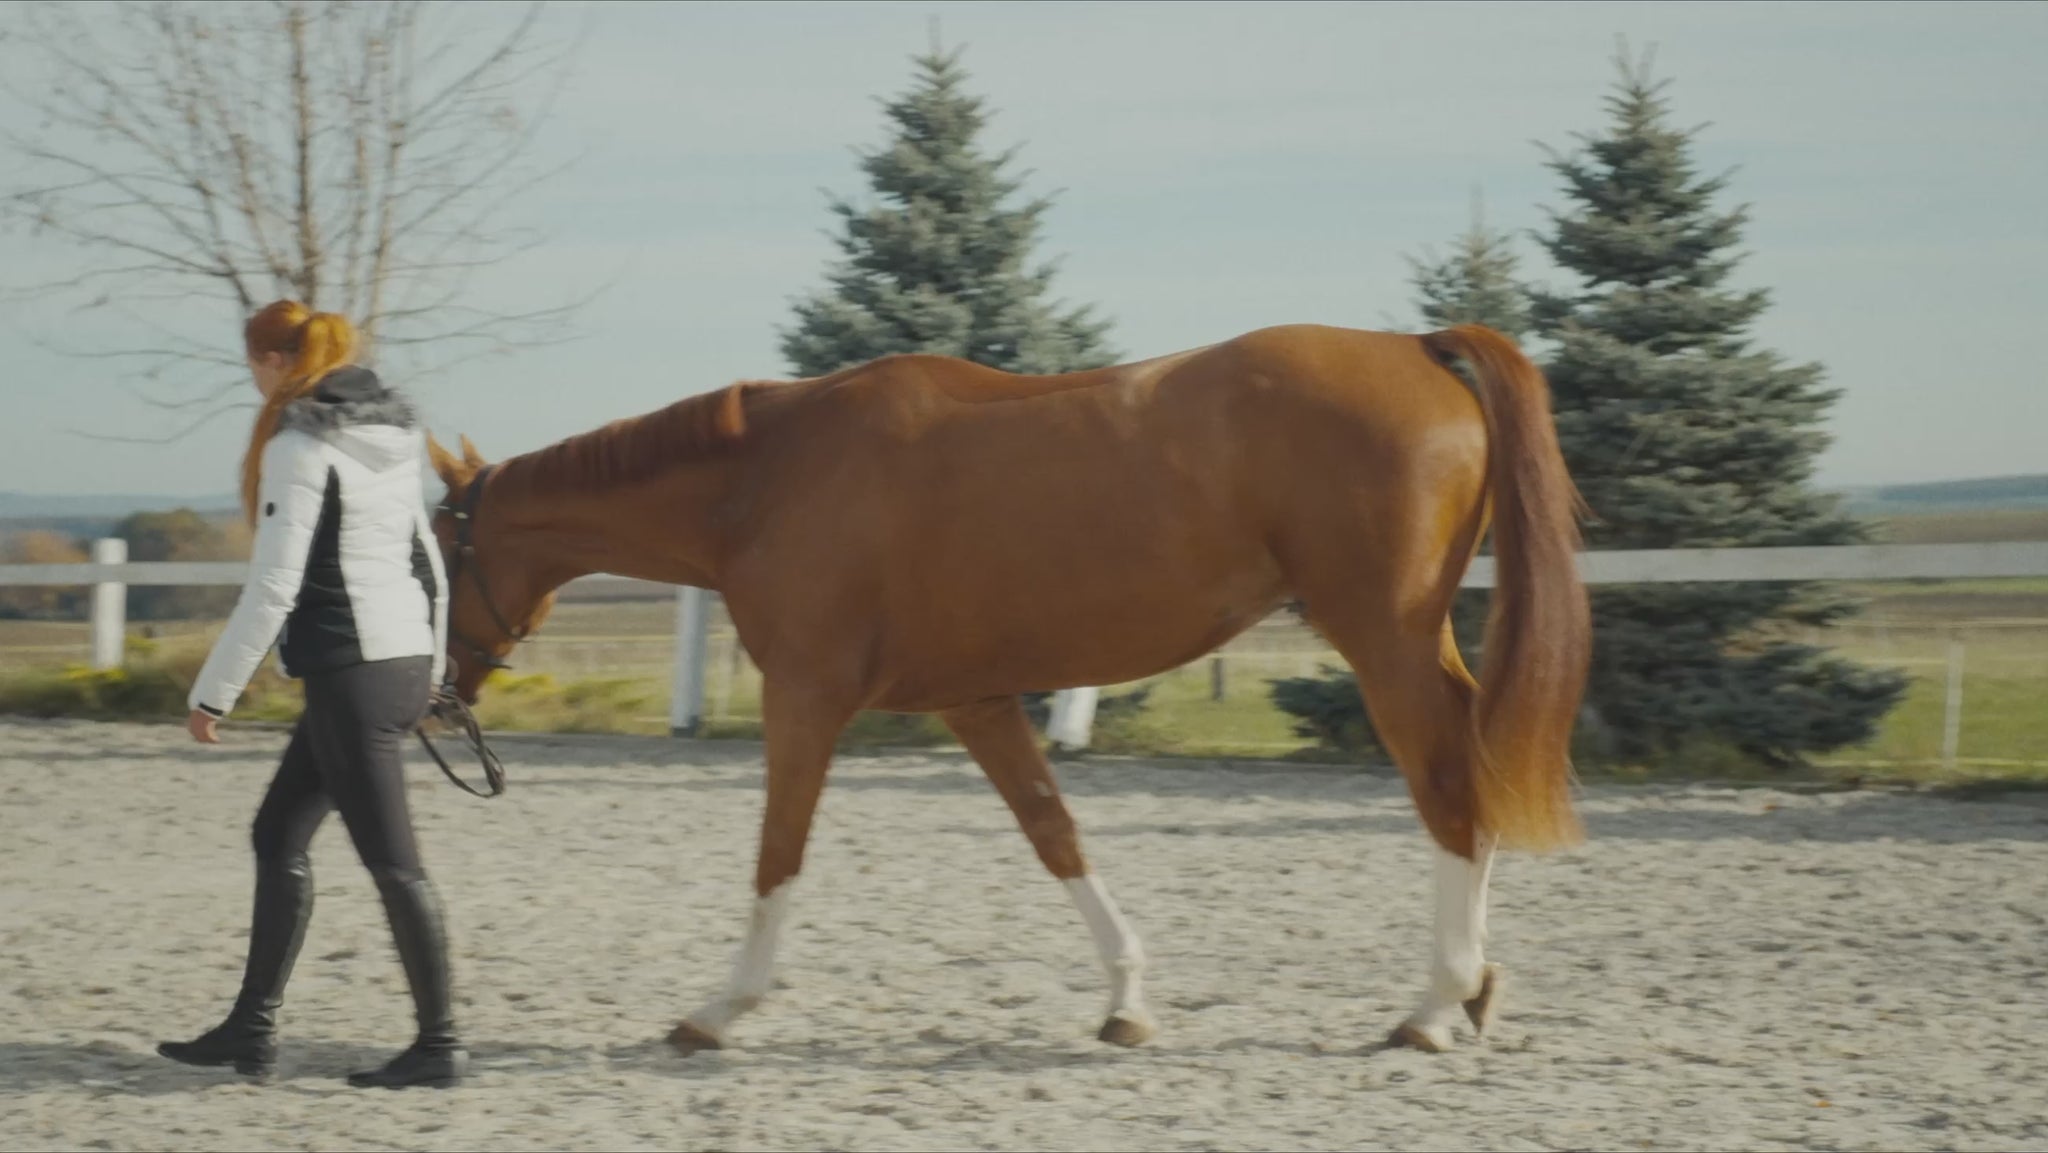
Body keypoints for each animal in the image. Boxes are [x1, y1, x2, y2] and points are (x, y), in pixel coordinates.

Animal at [423, 321, 1592, 1054]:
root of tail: (1415, 348)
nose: (434, 695)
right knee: (1471, 770)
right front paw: (1126, 1000)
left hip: (1382, 638)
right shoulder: (974, 701)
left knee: (1447, 786)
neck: (761, 480)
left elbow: (776, 852)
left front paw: (718, 1009)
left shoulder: (805, 698)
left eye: (426, 551)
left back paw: (1434, 1004)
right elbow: (1052, 832)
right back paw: (1473, 990)